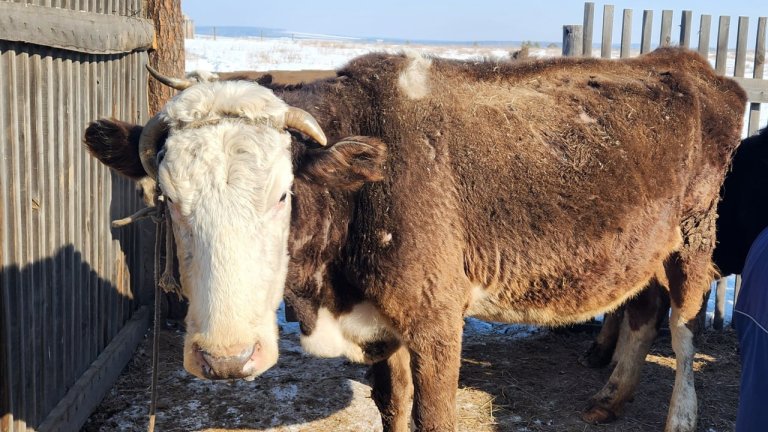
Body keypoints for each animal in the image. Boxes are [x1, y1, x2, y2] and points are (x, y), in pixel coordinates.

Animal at [84, 49, 744, 430]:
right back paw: (609, 398)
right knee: (642, 307)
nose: (225, 359)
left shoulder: (436, 317)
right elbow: (393, 410)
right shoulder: (382, 327)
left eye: (283, 194)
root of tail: (698, 65)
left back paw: (679, 418)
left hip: (695, 236)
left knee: (683, 329)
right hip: (644, 243)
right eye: (167, 198)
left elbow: (431, 417)